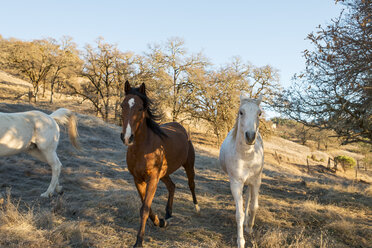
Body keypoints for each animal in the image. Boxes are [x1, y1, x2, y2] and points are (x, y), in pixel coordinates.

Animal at [120, 81, 199, 248]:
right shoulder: (138, 179)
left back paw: (197, 207)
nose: (127, 137)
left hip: (188, 166)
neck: (143, 147)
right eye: (122, 105)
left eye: (140, 108)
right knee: (172, 186)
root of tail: (180, 127)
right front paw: (160, 221)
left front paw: (139, 242)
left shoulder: (152, 179)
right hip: (164, 174)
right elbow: (146, 207)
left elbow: (144, 208)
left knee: (191, 184)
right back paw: (168, 214)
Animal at [221, 94, 264, 247]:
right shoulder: (236, 183)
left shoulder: (256, 181)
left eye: (259, 113)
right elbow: (239, 213)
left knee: (249, 198)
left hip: (250, 182)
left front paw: (249, 227)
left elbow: (254, 206)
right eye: (241, 112)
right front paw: (241, 241)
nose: (250, 136)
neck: (246, 157)